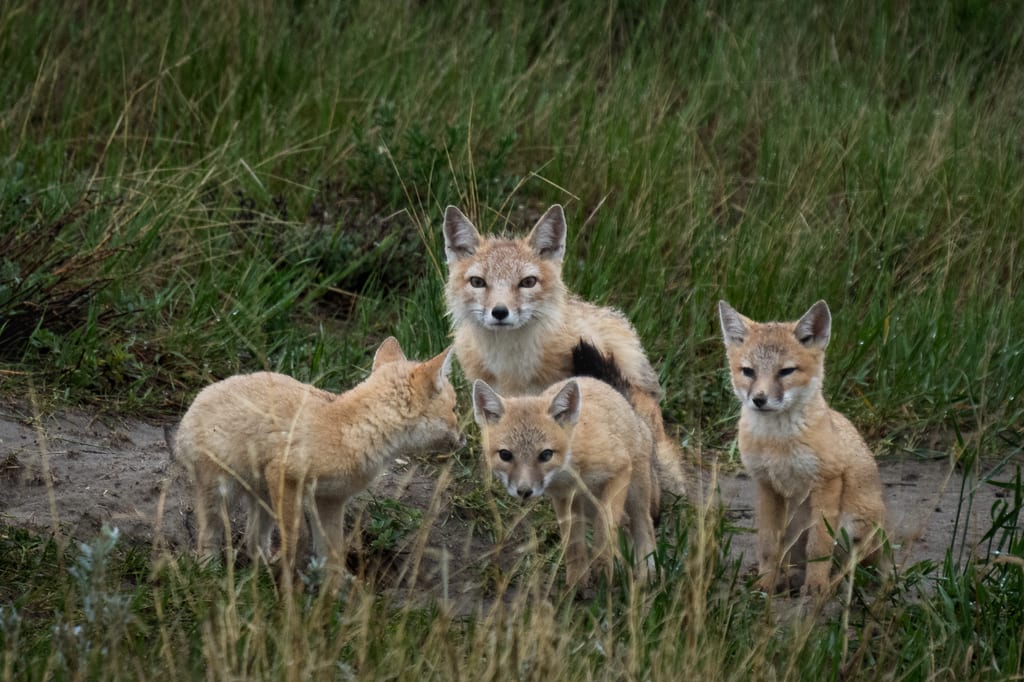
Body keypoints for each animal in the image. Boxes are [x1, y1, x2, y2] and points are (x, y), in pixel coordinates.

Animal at [173, 337, 464, 573]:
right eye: (455, 409)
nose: (465, 438)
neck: (351, 430)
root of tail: (196, 402)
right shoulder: (286, 476)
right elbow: (296, 538)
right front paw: (290, 584)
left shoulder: (330, 500)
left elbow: (332, 556)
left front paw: (331, 597)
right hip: (222, 495)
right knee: (210, 537)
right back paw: (210, 572)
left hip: (263, 500)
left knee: (253, 542)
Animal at [472, 374, 658, 587]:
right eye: (505, 455)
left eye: (546, 454)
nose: (524, 491)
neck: (570, 470)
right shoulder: (563, 499)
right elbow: (573, 546)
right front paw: (576, 583)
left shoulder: (619, 469)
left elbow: (605, 528)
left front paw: (603, 566)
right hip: (587, 507)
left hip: (635, 497)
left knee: (644, 528)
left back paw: (647, 576)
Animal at [717, 300, 887, 596]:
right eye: (748, 371)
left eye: (786, 371)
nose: (759, 399)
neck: (777, 444)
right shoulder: (766, 485)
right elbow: (767, 545)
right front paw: (766, 582)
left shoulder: (826, 482)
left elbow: (819, 546)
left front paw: (816, 585)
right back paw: (787, 579)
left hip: (854, 527)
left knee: (852, 569)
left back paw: (832, 584)